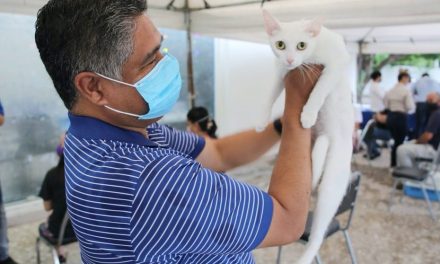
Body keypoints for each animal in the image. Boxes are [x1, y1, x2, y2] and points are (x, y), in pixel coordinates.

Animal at [262, 9, 354, 264]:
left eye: (302, 45)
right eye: (280, 45)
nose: (291, 60)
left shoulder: (336, 63)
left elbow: (320, 88)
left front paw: (309, 113)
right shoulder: (280, 69)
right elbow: (271, 92)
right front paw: (261, 119)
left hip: (330, 188)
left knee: (319, 234)